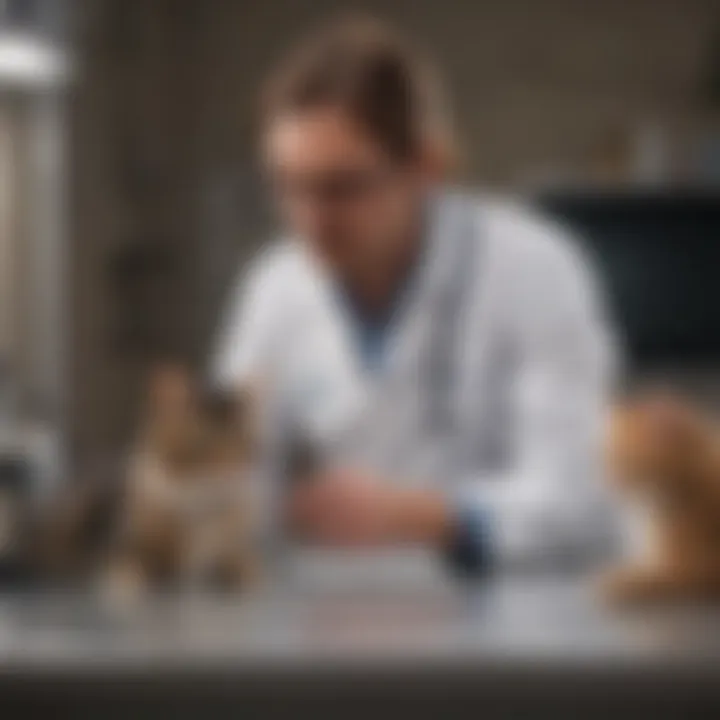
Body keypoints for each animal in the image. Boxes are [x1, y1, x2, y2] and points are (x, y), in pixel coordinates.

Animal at [604, 394, 716, 600]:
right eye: (611, 457)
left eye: (633, 461)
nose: (612, 480)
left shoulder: (694, 571)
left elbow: (645, 581)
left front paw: (617, 584)